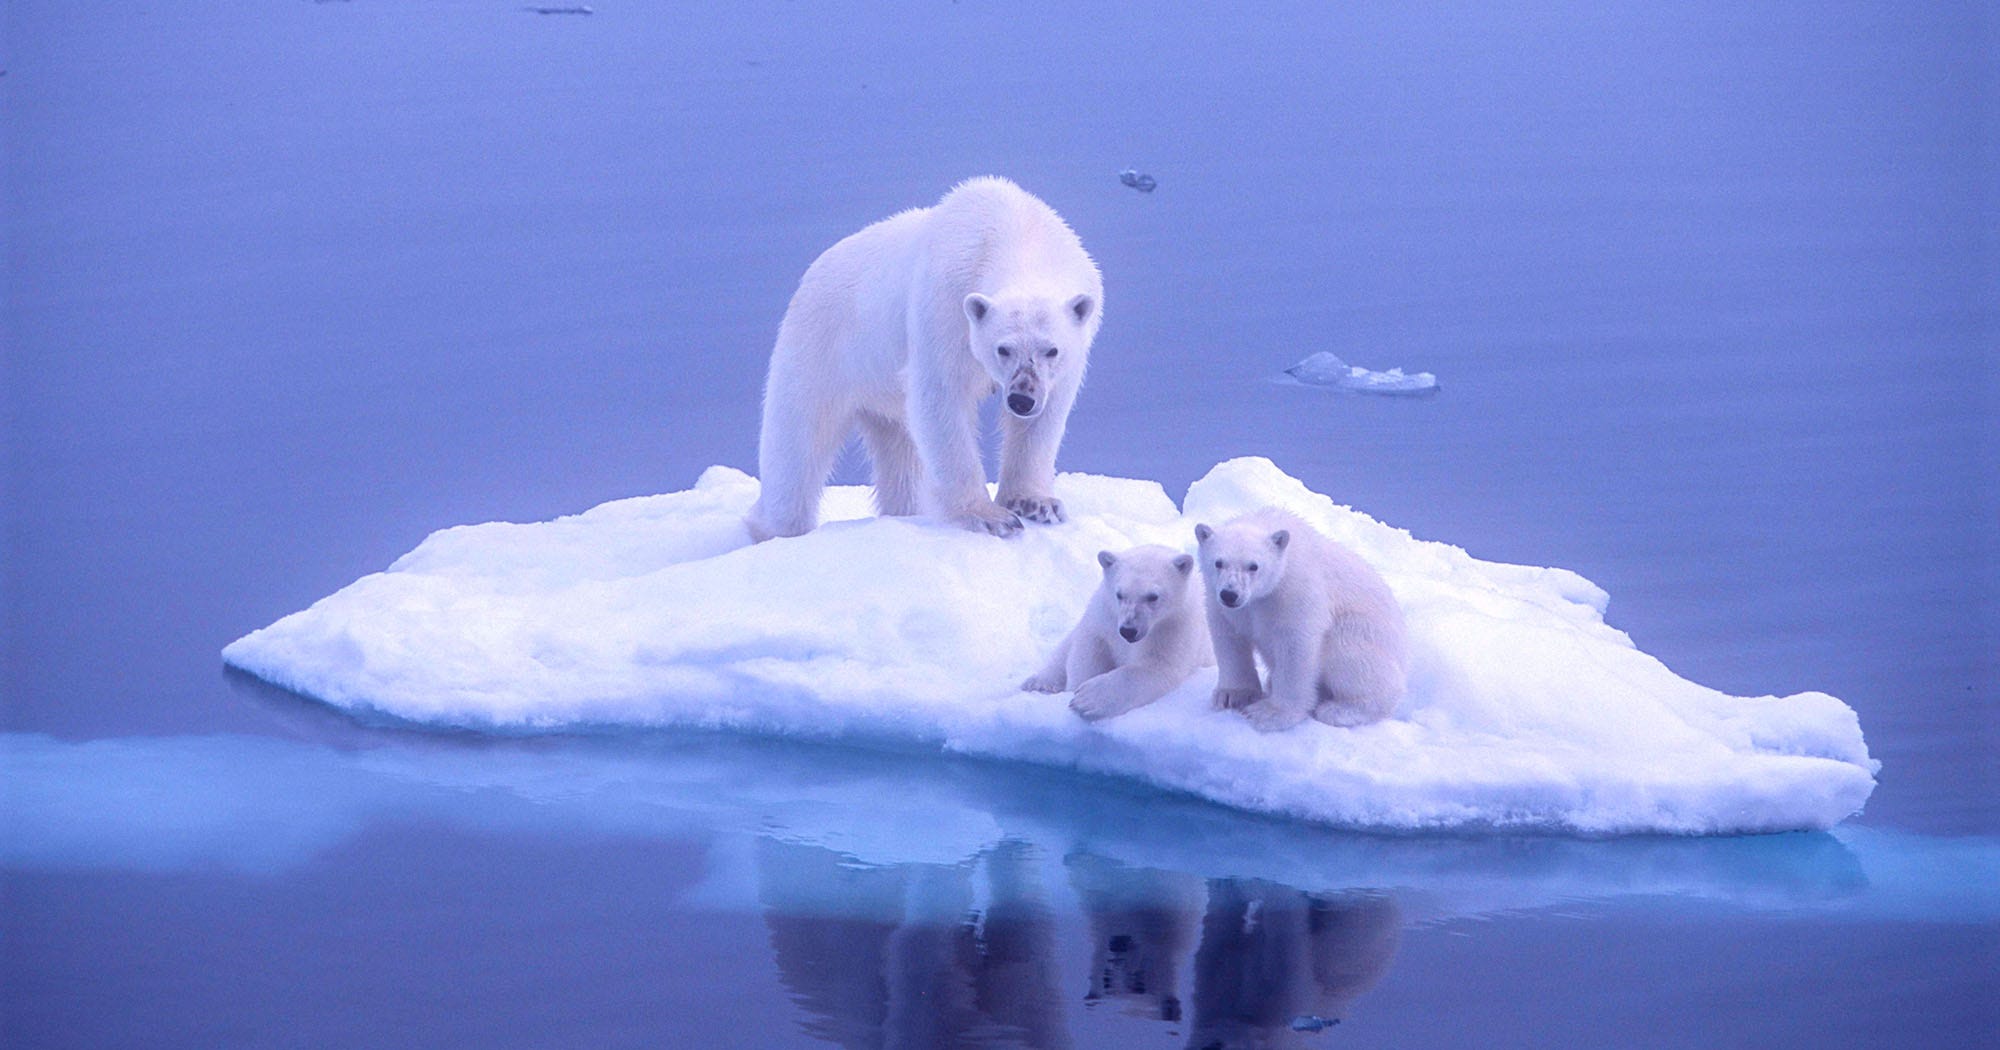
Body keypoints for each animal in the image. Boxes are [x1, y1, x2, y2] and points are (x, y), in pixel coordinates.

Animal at [744, 176, 1104, 542]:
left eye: (1052, 349)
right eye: (1003, 349)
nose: (1021, 399)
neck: (1018, 232)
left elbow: (1045, 418)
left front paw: (1035, 504)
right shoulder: (946, 304)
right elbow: (941, 398)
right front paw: (991, 517)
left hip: (880, 390)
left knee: (899, 456)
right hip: (820, 349)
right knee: (797, 443)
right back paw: (772, 528)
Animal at [1021, 544, 1214, 721]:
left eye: (1153, 596)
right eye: (1119, 594)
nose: (1128, 631)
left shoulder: (1174, 627)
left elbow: (1156, 666)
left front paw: (1087, 698)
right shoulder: (1105, 617)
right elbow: (1088, 651)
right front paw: (1075, 689)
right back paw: (1038, 683)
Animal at [1194, 508, 1409, 732]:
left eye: (1254, 566)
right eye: (1218, 562)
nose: (1230, 594)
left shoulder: (1295, 589)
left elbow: (1295, 644)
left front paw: (1270, 714)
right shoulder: (1220, 600)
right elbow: (1228, 638)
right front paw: (1231, 695)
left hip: (1362, 635)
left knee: (1351, 658)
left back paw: (1339, 710)